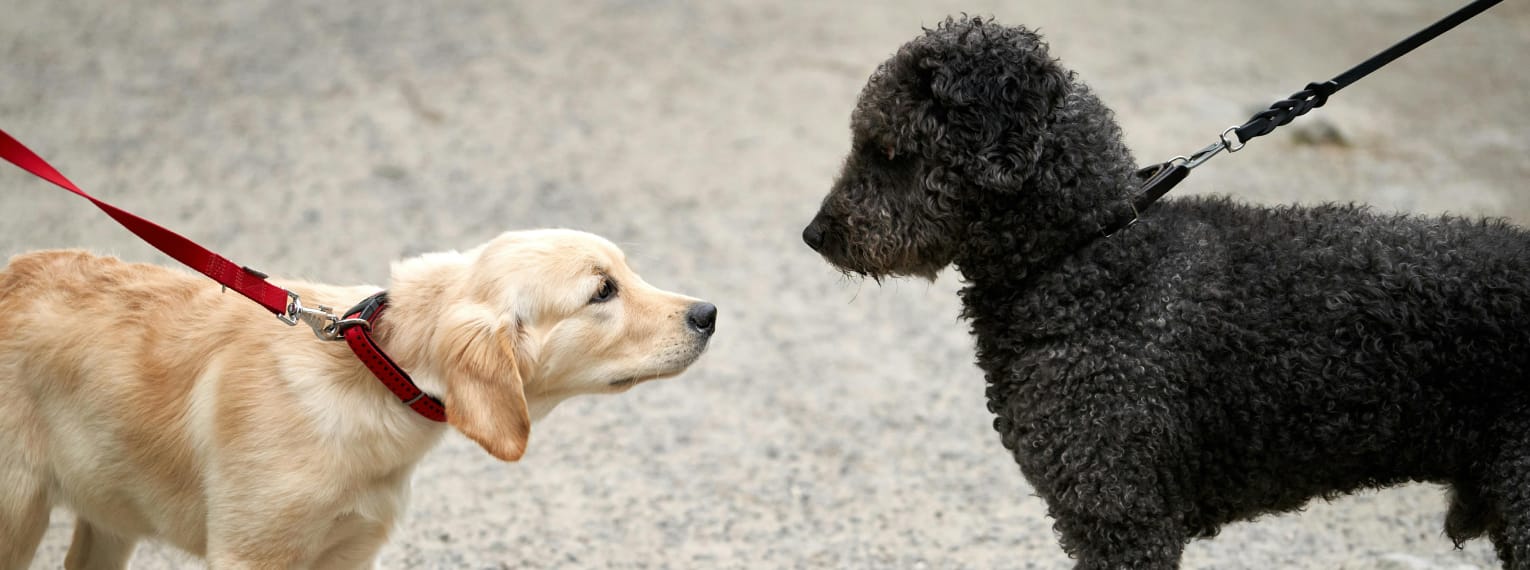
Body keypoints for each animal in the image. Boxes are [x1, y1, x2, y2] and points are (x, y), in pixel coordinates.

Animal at [0, 227, 712, 568]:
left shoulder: (350, 554)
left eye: (625, 272)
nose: (708, 313)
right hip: (17, 518)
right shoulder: (249, 557)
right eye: (601, 292)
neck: (376, 373)